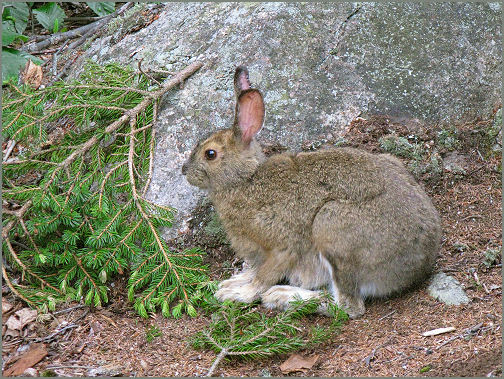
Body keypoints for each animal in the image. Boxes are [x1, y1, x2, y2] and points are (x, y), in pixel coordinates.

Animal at [182, 64, 440, 318]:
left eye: (210, 154)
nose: (185, 171)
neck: (246, 179)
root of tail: (419, 262)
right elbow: (254, 270)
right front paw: (232, 282)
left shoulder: (282, 246)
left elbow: (263, 277)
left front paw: (237, 294)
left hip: (332, 227)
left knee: (348, 307)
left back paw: (283, 296)